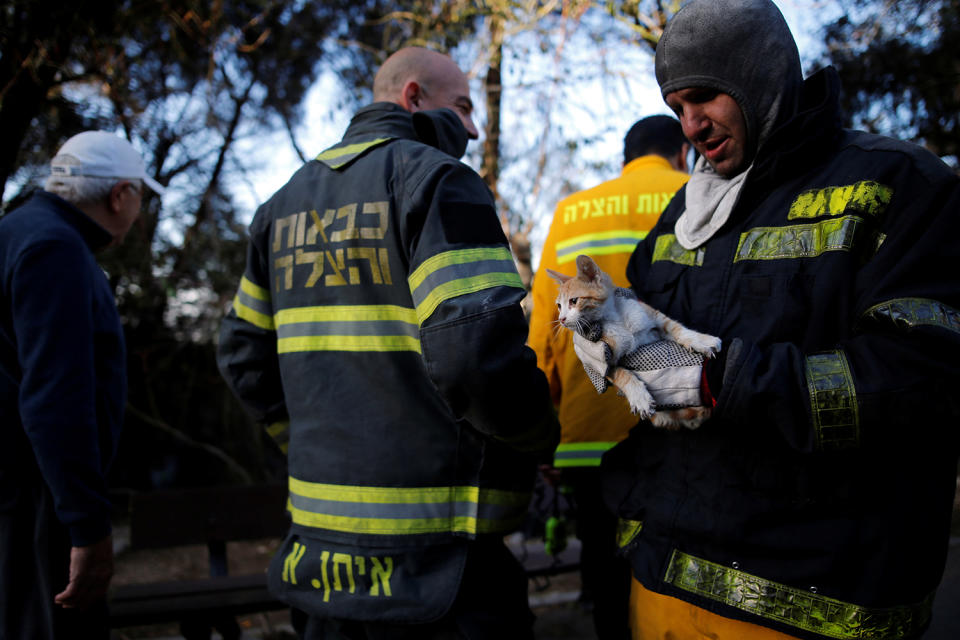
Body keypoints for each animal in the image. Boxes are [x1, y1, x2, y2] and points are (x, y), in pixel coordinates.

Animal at [548, 255, 720, 430]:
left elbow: (676, 327)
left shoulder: (650, 314)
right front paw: (639, 396)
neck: (615, 319)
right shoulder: (603, 357)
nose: (561, 319)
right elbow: (620, 374)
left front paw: (700, 340)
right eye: (559, 306)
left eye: (574, 301)